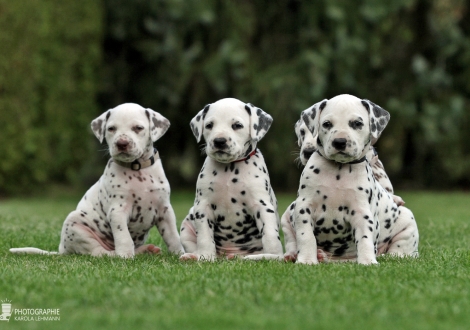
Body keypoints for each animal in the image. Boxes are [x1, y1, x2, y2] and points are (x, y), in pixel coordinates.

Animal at [10, 103, 184, 258]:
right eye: (111, 128)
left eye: (138, 128)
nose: (121, 143)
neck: (137, 169)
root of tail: (63, 250)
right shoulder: (118, 210)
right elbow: (123, 236)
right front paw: (125, 256)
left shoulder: (165, 210)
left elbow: (172, 236)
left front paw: (179, 254)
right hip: (76, 224)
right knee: (98, 252)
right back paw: (118, 254)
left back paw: (146, 250)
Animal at [179, 97, 282, 260]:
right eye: (209, 125)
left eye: (237, 125)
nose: (219, 141)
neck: (229, 168)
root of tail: (230, 255)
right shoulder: (203, 206)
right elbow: (205, 237)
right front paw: (206, 257)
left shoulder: (262, 206)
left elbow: (270, 235)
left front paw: (274, 255)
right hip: (186, 226)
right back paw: (192, 256)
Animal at [290, 94, 418, 264]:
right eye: (327, 124)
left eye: (357, 123)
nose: (339, 142)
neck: (338, 170)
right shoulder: (304, 206)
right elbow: (306, 236)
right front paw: (306, 259)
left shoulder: (362, 212)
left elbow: (365, 238)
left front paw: (368, 261)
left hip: (407, 220)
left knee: (400, 250)